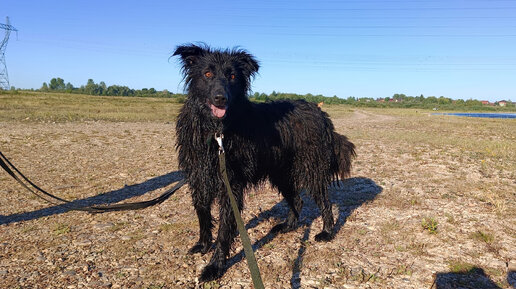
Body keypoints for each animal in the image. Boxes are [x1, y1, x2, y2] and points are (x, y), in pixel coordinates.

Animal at [173, 44, 354, 280]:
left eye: (232, 76)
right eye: (207, 74)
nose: (221, 98)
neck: (216, 130)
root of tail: (322, 114)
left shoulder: (231, 184)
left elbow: (224, 228)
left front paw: (215, 266)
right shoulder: (198, 176)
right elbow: (203, 214)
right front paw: (203, 245)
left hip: (310, 168)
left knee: (324, 201)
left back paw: (327, 232)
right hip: (281, 173)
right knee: (297, 200)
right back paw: (287, 226)